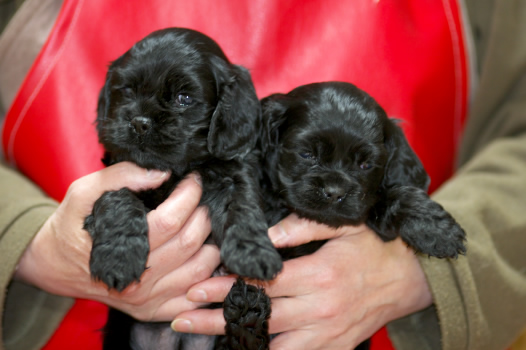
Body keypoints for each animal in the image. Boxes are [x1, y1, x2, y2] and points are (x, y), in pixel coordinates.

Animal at [84, 28, 284, 350]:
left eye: (184, 98)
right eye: (127, 91)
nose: (139, 123)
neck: (176, 170)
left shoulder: (232, 171)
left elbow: (242, 204)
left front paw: (253, 253)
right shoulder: (115, 174)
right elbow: (117, 198)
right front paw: (118, 257)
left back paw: (248, 316)